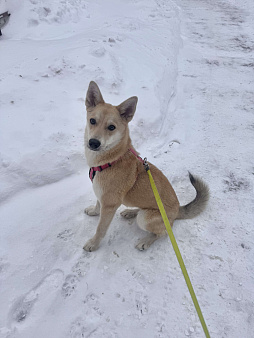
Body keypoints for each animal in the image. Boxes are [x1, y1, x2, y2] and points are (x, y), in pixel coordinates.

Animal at [83, 82, 208, 251]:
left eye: (111, 127)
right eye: (92, 121)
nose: (93, 143)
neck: (112, 160)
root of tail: (177, 211)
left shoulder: (109, 204)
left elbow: (100, 229)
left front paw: (93, 244)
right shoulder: (102, 196)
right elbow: (97, 205)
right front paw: (93, 211)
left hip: (145, 219)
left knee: (164, 232)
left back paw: (146, 241)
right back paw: (130, 212)